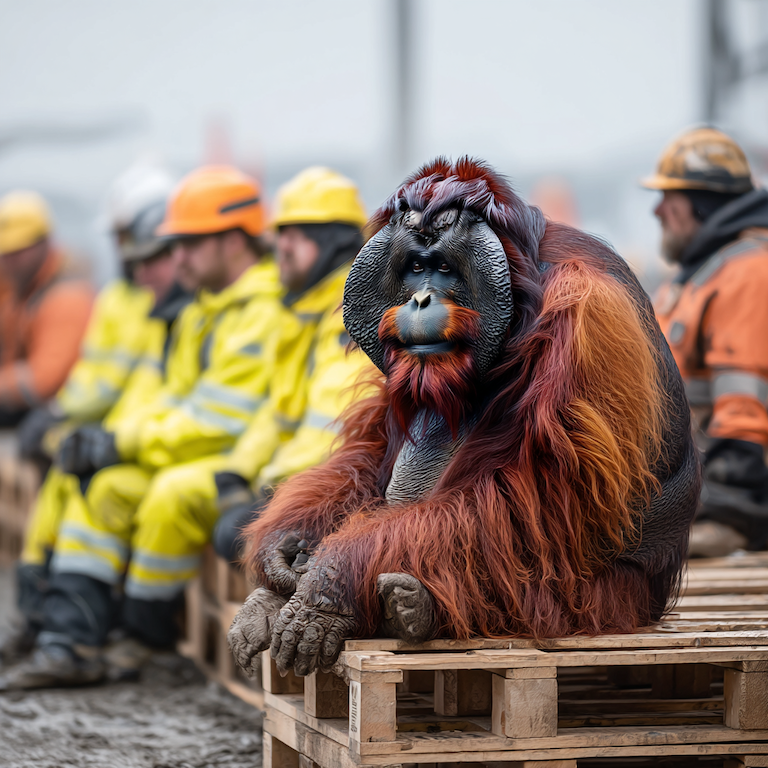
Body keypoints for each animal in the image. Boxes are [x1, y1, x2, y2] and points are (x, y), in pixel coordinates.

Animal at [228, 157, 700, 679]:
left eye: (444, 268)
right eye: (415, 268)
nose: (420, 300)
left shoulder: (587, 323)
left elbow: (535, 497)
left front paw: (328, 583)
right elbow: (375, 447)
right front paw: (286, 543)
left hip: (610, 599)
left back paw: (412, 608)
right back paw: (271, 605)